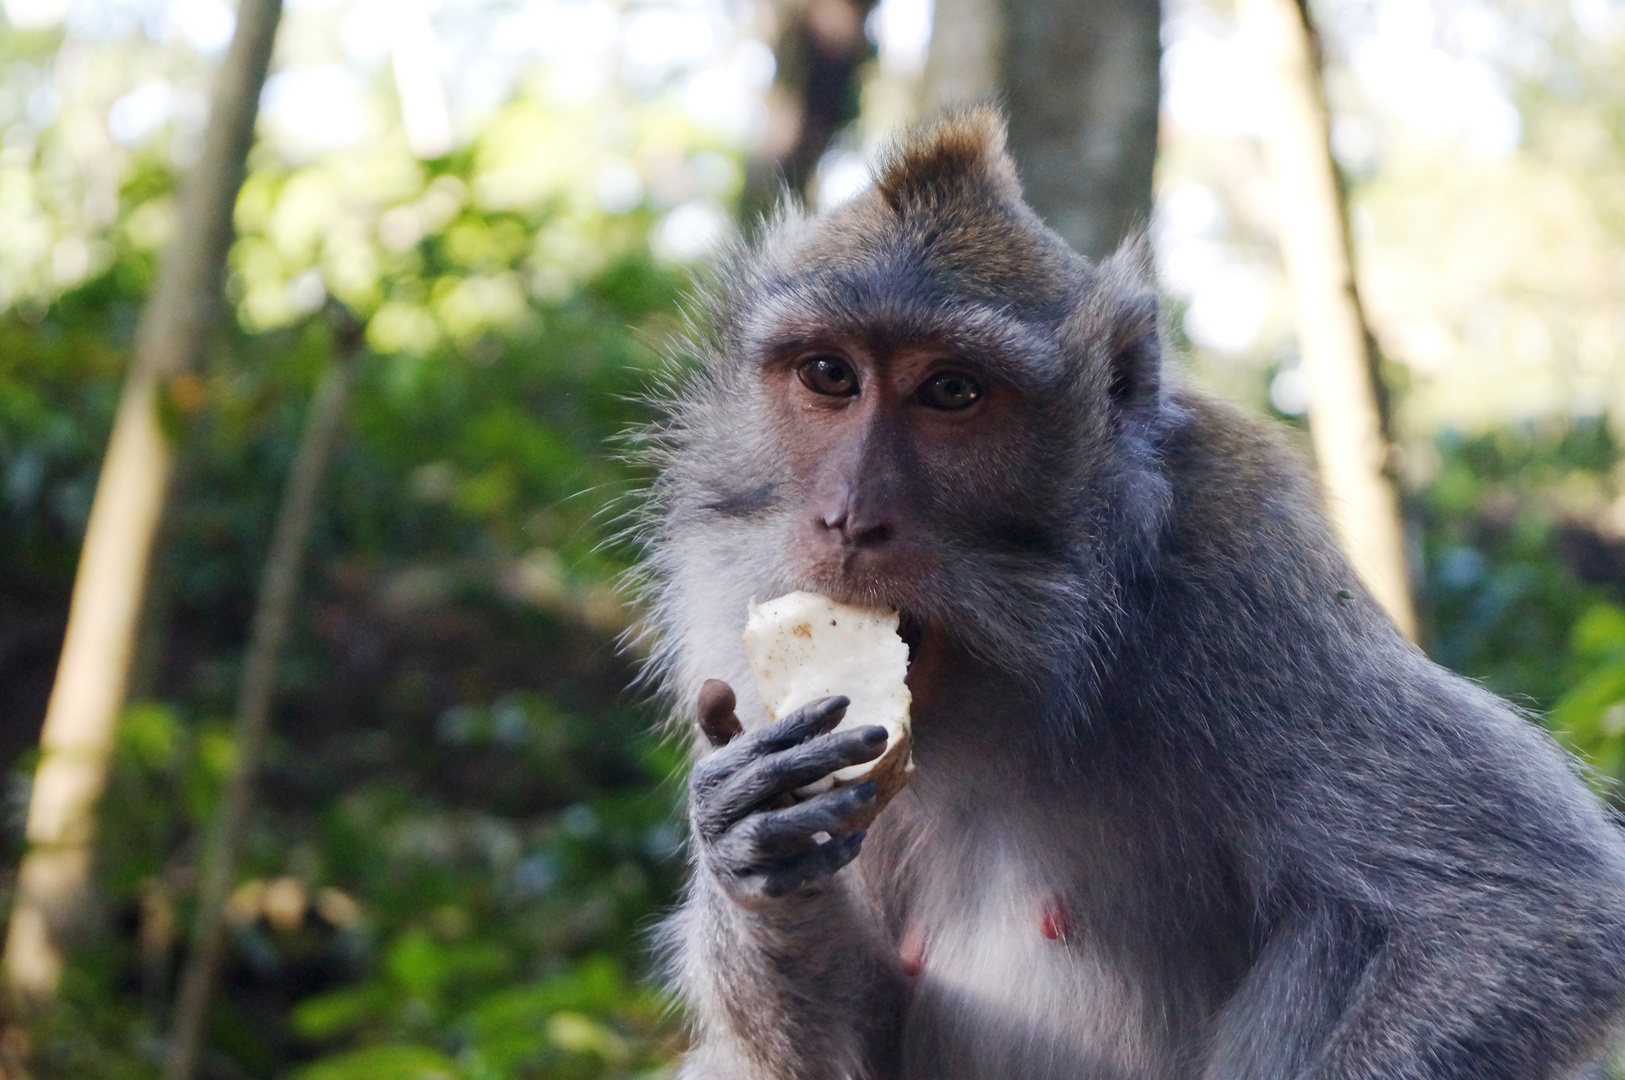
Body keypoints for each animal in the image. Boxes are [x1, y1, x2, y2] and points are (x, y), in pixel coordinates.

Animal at [627, 107, 1625, 1078]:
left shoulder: (1246, 579)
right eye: (829, 376)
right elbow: (846, 1038)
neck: (1035, 653)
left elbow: (1532, 915)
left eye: (951, 391)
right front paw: (753, 841)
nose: (847, 517)